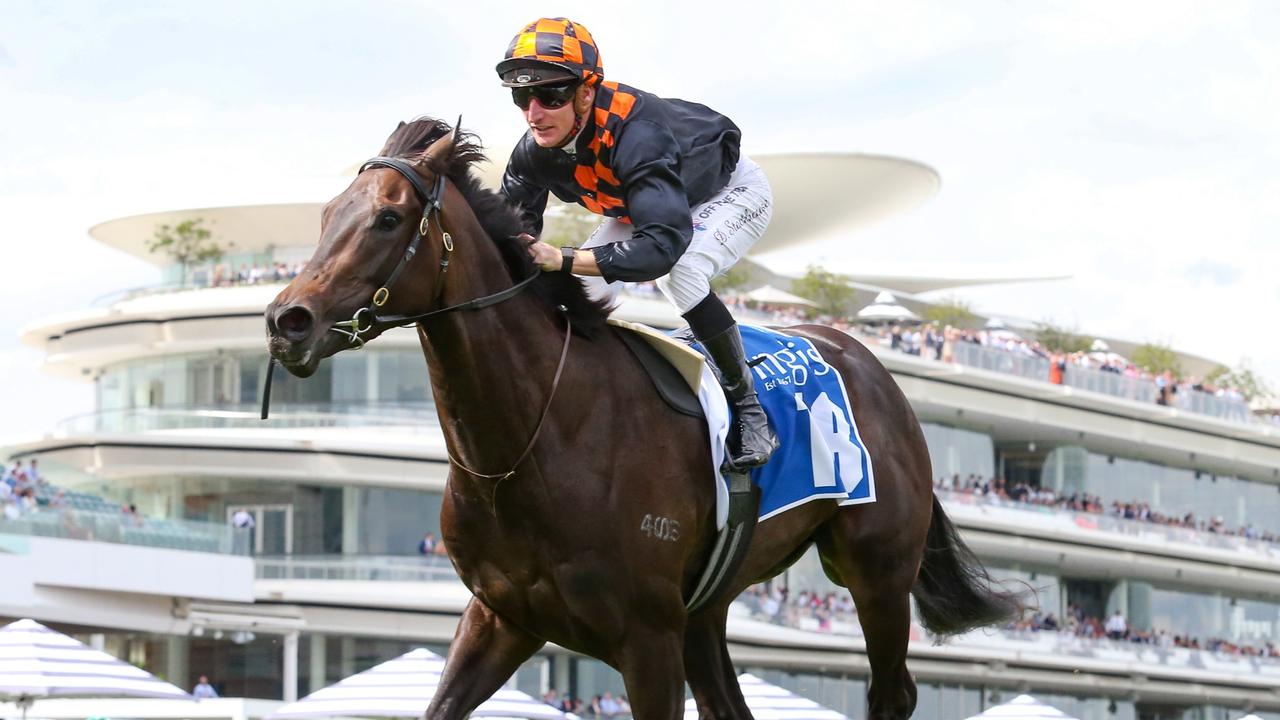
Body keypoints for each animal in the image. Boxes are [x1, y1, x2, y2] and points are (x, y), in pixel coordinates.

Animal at [264, 119, 1024, 717]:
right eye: (328, 213)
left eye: (388, 218)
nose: (286, 321)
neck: (537, 438)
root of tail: (869, 364)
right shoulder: (502, 617)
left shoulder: (646, 638)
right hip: (709, 612)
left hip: (877, 570)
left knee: (893, 692)